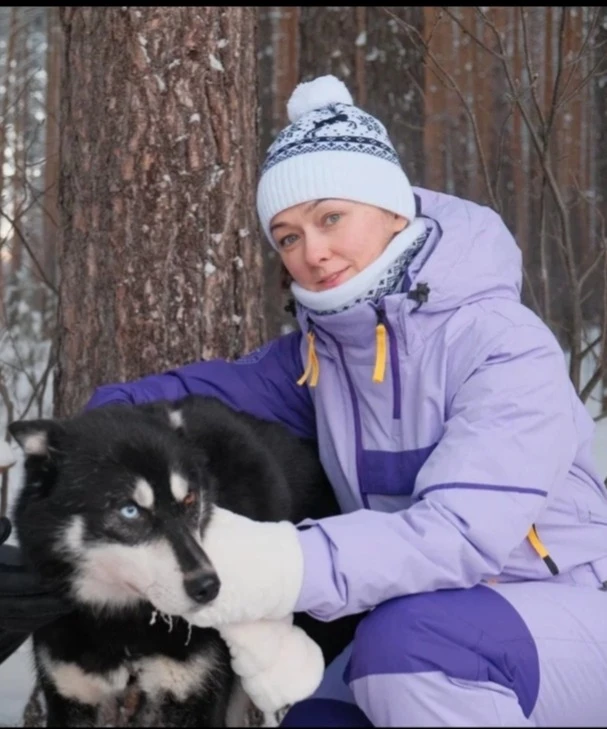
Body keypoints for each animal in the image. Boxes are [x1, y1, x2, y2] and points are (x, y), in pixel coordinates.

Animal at [8, 396, 352, 724]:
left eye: (189, 499)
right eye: (130, 510)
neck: (123, 630)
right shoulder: (73, 694)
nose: (208, 586)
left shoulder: (194, 693)